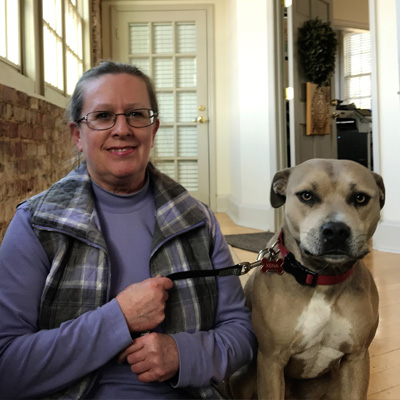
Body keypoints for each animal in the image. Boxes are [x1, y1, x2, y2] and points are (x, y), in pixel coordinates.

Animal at [228, 159, 384, 400]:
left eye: (360, 198)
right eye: (307, 196)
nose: (336, 230)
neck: (321, 278)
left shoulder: (356, 358)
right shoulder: (271, 360)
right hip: (244, 375)